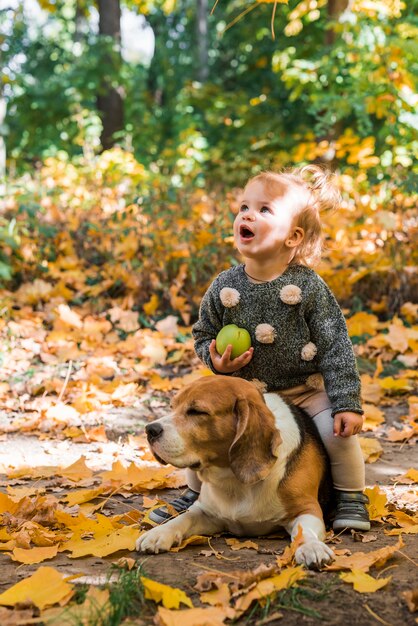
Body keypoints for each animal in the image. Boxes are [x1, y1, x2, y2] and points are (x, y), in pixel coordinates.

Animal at [136, 372, 334, 568]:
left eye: (197, 411)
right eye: (172, 407)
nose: (149, 429)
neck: (233, 479)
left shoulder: (307, 508)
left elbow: (304, 531)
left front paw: (311, 546)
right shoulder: (206, 512)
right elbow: (184, 518)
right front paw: (159, 533)